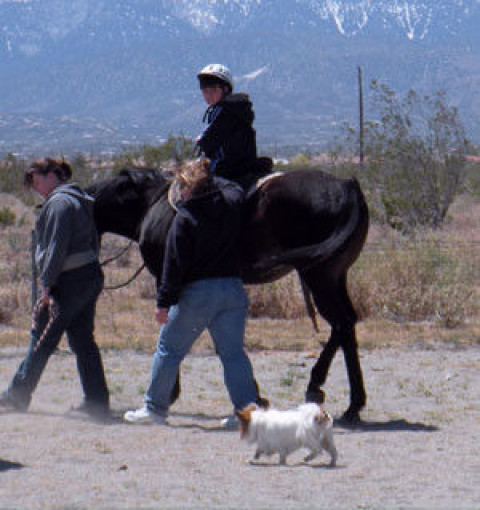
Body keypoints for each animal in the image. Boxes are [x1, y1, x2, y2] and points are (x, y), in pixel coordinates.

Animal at [88, 168, 370, 422]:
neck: (149, 203)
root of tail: (348, 187)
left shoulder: (169, 279)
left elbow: (173, 332)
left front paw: (170, 393)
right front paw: (255, 395)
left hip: (319, 278)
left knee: (341, 324)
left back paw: (320, 389)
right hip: (336, 277)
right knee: (347, 325)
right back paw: (352, 405)